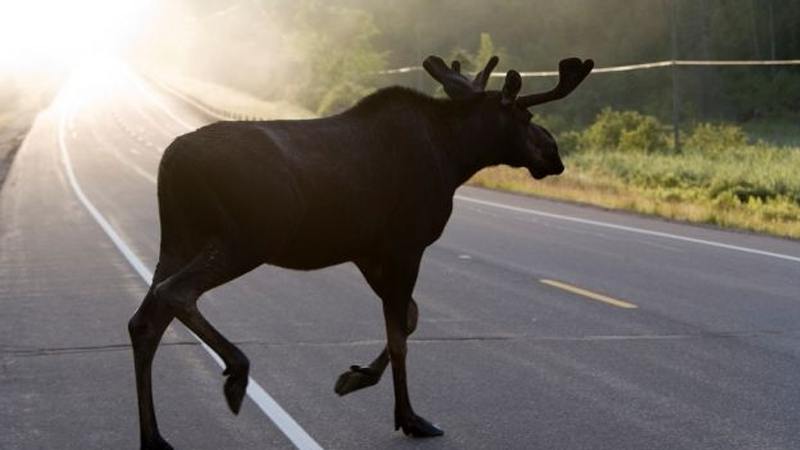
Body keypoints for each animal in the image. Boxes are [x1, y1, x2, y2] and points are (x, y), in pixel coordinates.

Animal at [130, 54, 592, 448]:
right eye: (526, 116)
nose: (554, 154)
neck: (456, 158)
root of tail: (170, 161)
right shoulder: (406, 244)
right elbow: (400, 334)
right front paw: (410, 418)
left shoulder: (368, 251)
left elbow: (409, 319)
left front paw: (357, 376)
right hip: (248, 237)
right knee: (175, 292)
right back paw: (236, 374)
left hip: (180, 238)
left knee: (145, 321)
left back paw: (154, 437)